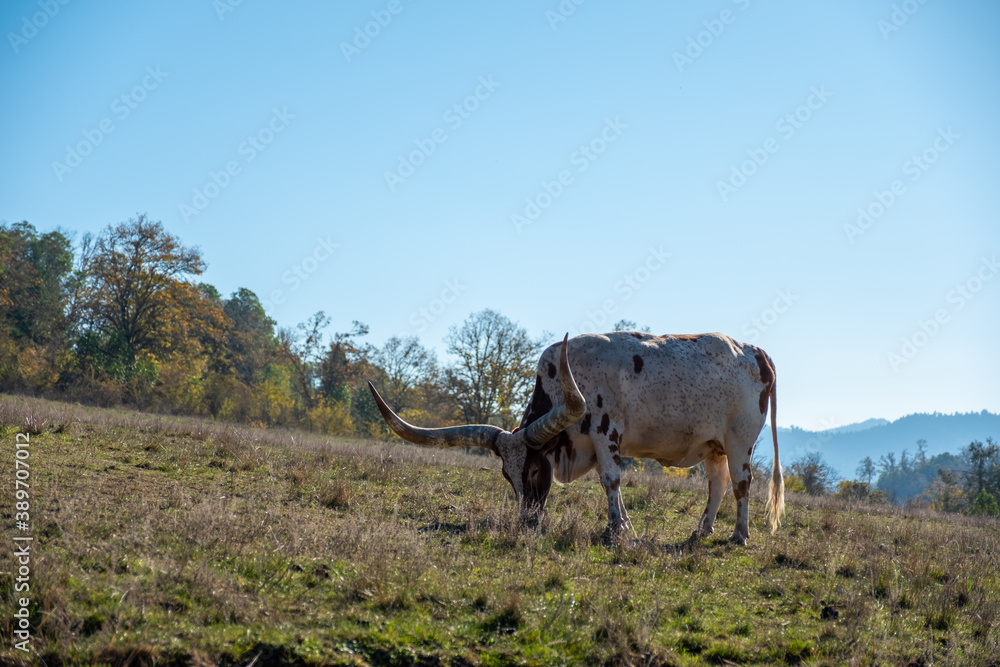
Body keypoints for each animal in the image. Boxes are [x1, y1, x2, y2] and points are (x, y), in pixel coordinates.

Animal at [368, 331, 783, 545]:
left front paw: (617, 530)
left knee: (742, 484)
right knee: (717, 484)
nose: (527, 521)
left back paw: (738, 535)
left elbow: (611, 480)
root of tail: (757, 352)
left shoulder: (606, 433)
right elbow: (609, 482)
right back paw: (702, 530)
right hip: (714, 446)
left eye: (536, 472)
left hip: (740, 441)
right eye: (507, 476)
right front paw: (624, 524)